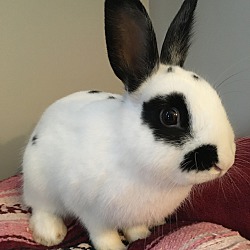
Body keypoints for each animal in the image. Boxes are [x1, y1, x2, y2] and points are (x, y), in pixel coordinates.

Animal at [22, 0, 236, 250]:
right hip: (39, 182)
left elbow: (134, 227)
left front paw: (140, 236)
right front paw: (115, 247)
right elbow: (102, 234)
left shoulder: (133, 215)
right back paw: (50, 235)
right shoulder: (92, 211)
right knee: (41, 208)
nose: (225, 162)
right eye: (169, 116)